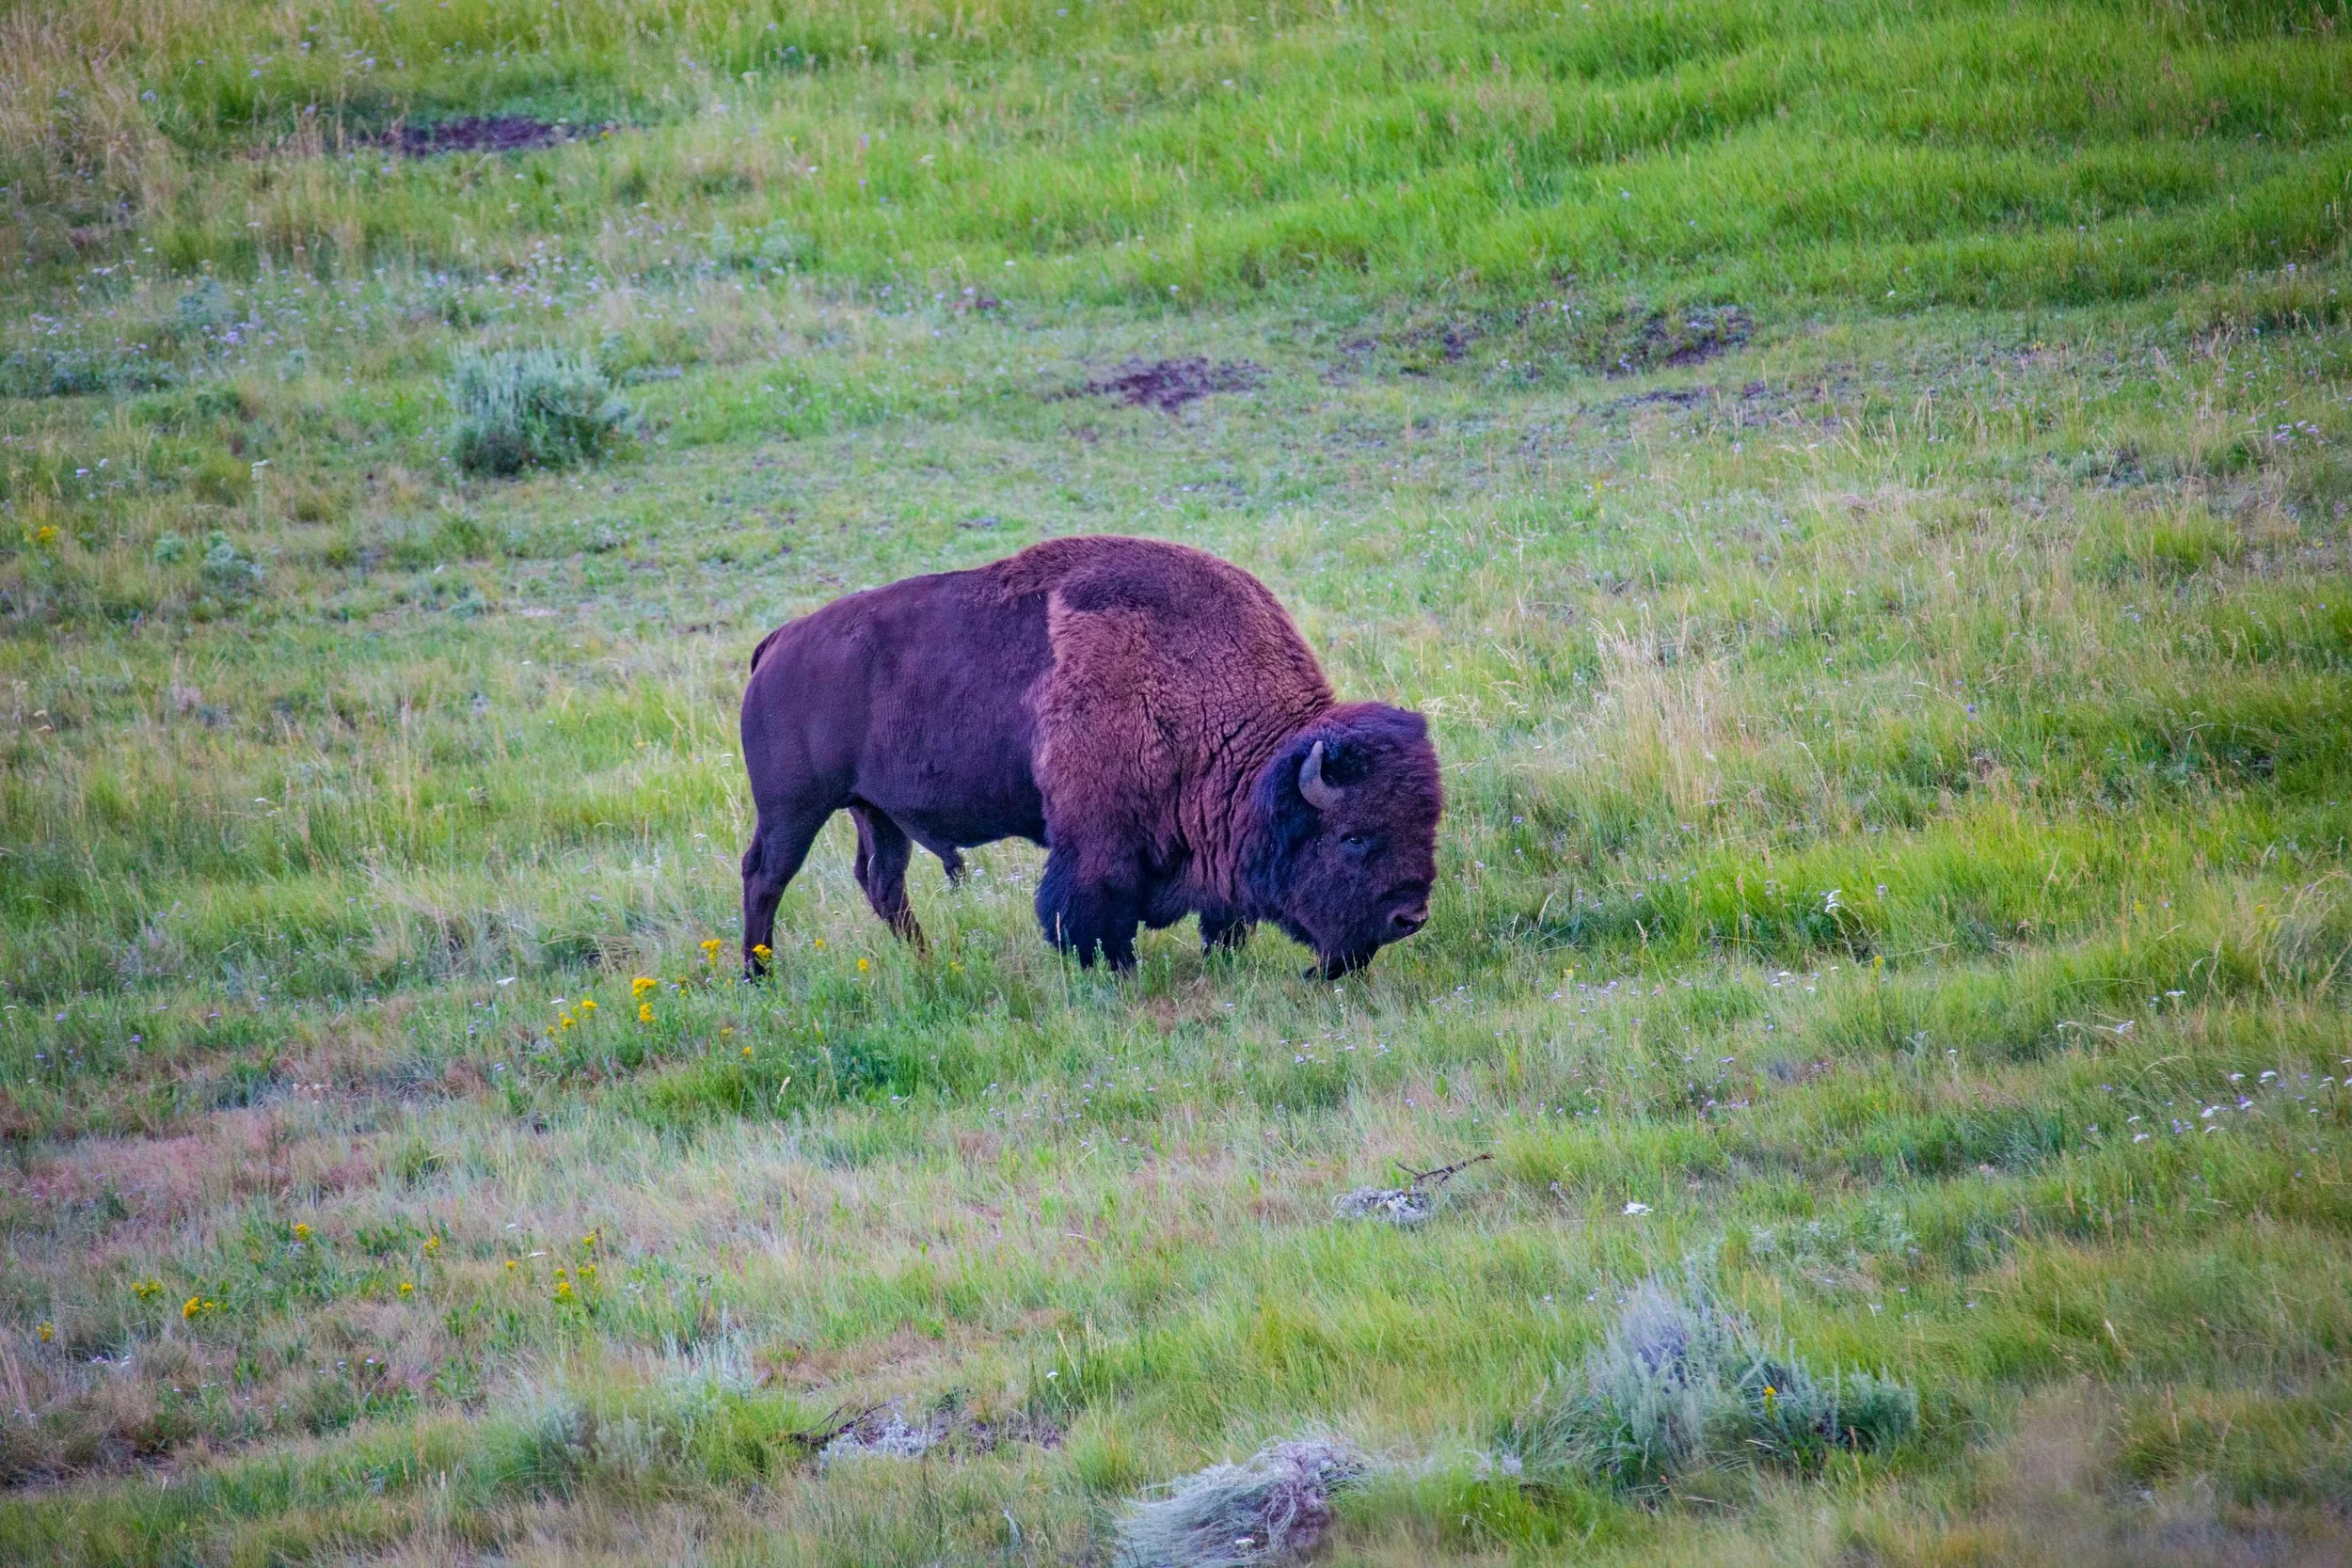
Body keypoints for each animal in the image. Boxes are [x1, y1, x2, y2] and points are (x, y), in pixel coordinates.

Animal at [738, 535, 1441, 977]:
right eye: (1354, 837)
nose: (1410, 916)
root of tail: (778, 642)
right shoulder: (1096, 843)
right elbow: (1087, 916)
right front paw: (1115, 972)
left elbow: (1222, 918)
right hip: (794, 809)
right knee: (766, 875)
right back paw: (757, 976)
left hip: (875, 812)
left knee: (882, 882)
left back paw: (927, 962)